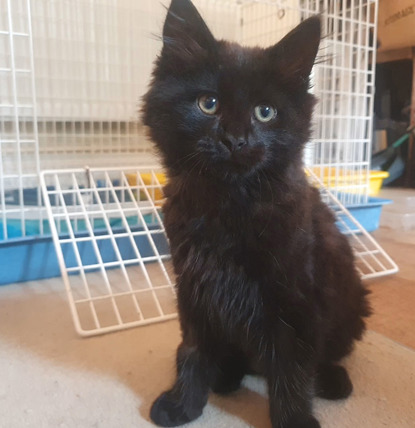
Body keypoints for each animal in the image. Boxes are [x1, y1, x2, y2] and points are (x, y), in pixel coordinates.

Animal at [142, 1, 370, 426]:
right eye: (208, 104)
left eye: (265, 112)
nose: (235, 140)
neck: (229, 204)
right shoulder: (194, 287)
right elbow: (193, 350)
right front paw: (183, 402)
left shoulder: (292, 296)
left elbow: (291, 369)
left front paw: (294, 420)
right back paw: (225, 376)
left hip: (350, 303)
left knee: (325, 355)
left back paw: (332, 381)